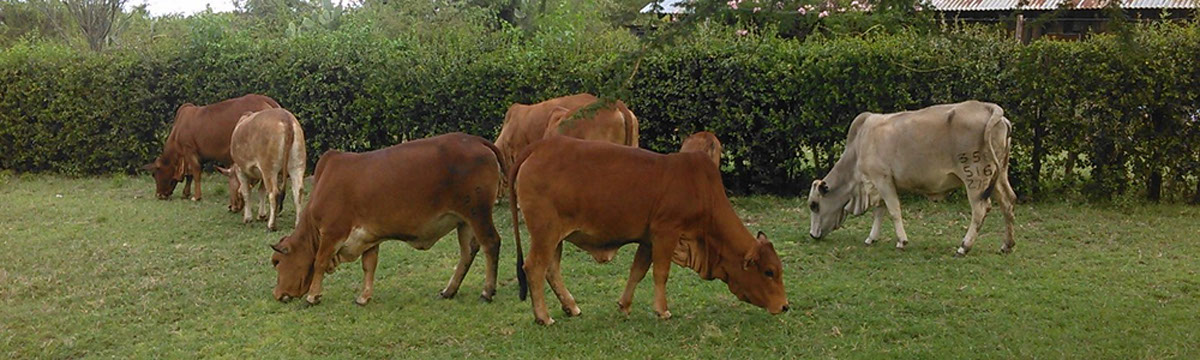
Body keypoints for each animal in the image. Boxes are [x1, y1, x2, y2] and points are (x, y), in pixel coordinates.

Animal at [142, 94, 280, 202]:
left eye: (155, 174)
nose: (159, 195)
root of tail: (266, 100)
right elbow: (189, 175)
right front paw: (186, 194)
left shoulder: (189, 150)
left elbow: (196, 172)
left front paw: (196, 197)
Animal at [271, 132, 506, 306]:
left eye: (277, 262)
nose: (277, 294)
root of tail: (476, 140)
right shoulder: (369, 237)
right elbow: (369, 265)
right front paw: (364, 297)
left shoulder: (332, 232)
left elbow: (319, 261)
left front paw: (313, 296)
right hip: (463, 220)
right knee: (468, 251)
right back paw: (449, 290)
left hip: (478, 213)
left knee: (491, 243)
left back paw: (486, 292)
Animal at [506, 135, 787, 326]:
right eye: (769, 272)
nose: (784, 306)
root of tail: (538, 147)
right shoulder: (666, 232)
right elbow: (661, 273)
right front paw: (662, 310)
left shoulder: (649, 239)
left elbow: (637, 271)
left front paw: (624, 306)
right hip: (545, 232)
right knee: (534, 267)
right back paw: (543, 317)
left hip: (555, 236)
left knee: (551, 269)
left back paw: (571, 307)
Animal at [806, 99, 1012, 255]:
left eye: (814, 205)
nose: (812, 235)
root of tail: (989, 108)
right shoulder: (879, 184)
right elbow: (880, 211)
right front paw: (871, 238)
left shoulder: (882, 179)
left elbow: (893, 210)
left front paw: (901, 241)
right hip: (999, 176)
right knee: (1007, 203)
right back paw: (1007, 245)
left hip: (974, 178)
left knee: (980, 209)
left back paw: (964, 246)